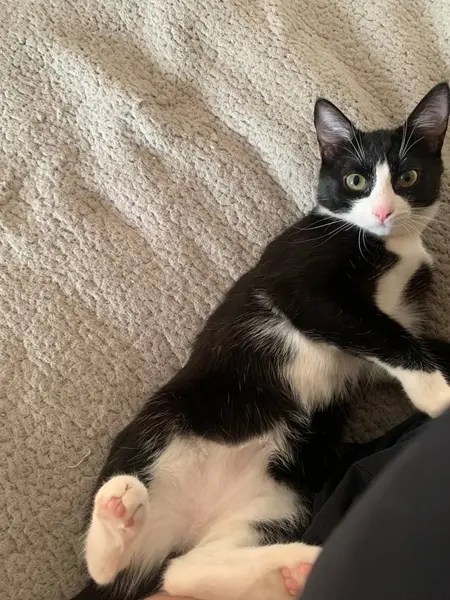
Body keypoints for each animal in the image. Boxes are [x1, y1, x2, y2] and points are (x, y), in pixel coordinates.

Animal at [71, 83, 450, 600]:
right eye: (355, 181)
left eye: (409, 176)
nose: (384, 211)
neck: (386, 244)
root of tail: (189, 520)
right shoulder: (299, 284)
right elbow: (381, 333)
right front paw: (437, 395)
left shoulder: (393, 323)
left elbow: (407, 339)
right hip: (162, 428)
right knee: (110, 569)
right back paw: (116, 513)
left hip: (279, 499)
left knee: (185, 569)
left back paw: (296, 565)